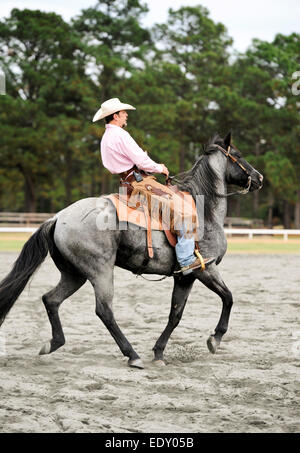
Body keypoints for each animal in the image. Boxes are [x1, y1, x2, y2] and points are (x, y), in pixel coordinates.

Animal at [0, 132, 262, 370]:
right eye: (239, 155)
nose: (259, 178)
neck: (203, 210)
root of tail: (57, 218)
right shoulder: (205, 269)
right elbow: (228, 297)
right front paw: (215, 339)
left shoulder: (185, 277)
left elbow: (175, 315)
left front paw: (159, 352)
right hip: (100, 272)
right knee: (104, 311)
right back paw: (132, 355)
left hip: (74, 275)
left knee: (51, 299)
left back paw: (53, 343)